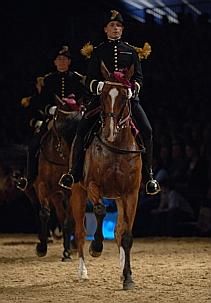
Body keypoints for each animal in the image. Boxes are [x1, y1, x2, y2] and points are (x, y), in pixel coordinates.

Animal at [26, 95, 82, 262]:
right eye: (64, 121)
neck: (59, 155)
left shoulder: (69, 191)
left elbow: (69, 219)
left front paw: (67, 252)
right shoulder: (42, 186)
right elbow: (44, 213)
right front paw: (42, 247)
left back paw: (73, 245)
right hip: (48, 194)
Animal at [70, 63, 144, 290]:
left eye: (124, 96)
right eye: (102, 95)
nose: (110, 132)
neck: (116, 148)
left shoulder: (130, 194)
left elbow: (126, 236)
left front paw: (128, 278)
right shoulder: (93, 186)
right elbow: (100, 211)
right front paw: (96, 246)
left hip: (119, 198)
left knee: (119, 232)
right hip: (77, 192)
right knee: (79, 232)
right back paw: (82, 271)